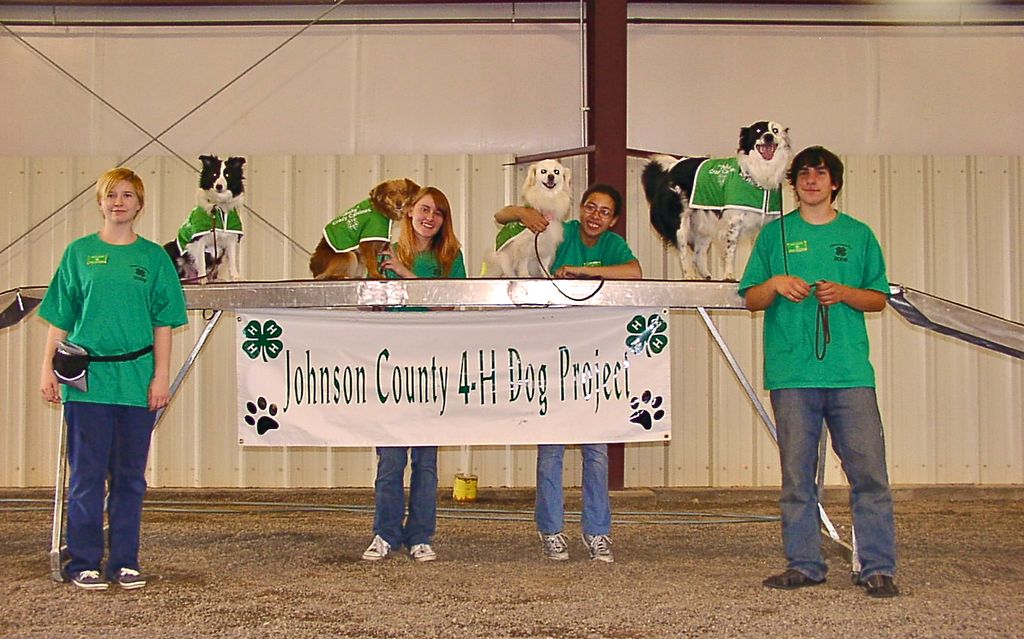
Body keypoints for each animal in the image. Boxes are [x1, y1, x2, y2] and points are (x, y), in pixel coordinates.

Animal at [638, 120, 790, 280]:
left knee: (697, 254)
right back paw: (689, 275)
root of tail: (668, 170)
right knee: (683, 250)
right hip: (680, 222)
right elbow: (730, 252)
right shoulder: (733, 223)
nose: (768, 137)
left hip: (703, 222)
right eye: (758, 131)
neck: (757, 175)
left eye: (775, 130)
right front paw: (729, 275)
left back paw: (706, 276)